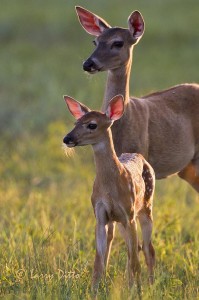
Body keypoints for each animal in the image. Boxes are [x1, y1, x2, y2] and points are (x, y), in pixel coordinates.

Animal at [63, 94, 156, 290]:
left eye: (92, 125)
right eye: (76, 122)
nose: (67, 138)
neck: (109, 188)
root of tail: (140, 156)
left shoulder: (128, 213)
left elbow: (135, 261)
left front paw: (139, 291)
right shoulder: (100, 215)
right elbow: (99, 261)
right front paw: (94, 290)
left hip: (145, 208)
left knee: (147, 249)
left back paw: (150, 285)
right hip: (118, 221)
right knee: (130, 249)